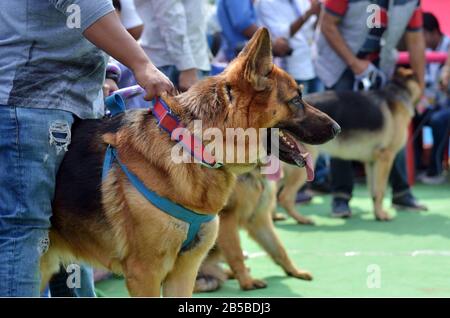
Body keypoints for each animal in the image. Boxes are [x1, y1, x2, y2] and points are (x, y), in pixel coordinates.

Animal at [40, 28, 340, 296]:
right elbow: (239, 252)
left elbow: (277, 247)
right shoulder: (145, 275)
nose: (337, 128)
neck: (196, 149)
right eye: (297, 99)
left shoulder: (184, 271)